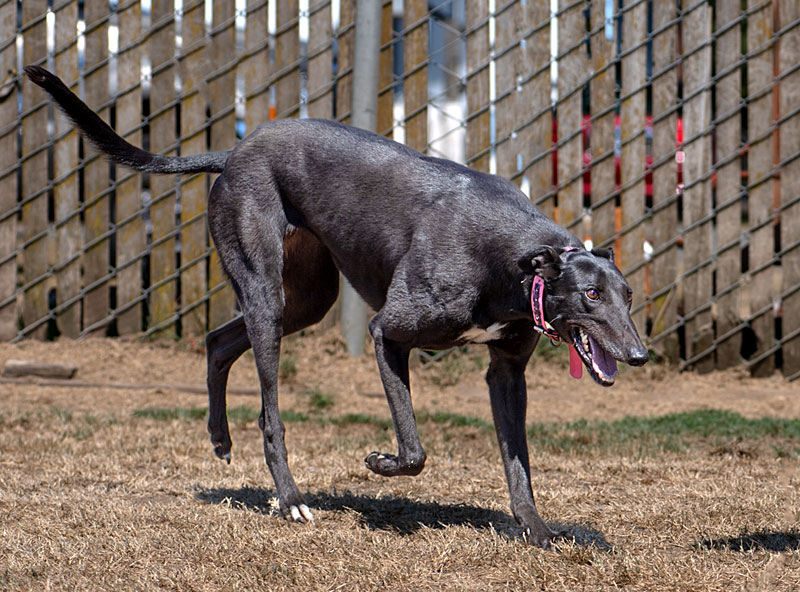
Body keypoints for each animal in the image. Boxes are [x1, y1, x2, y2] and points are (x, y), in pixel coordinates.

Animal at [26, 66, 648, 552]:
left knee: (218, 341)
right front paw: (380, 465)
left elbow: (519, 462)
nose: (639, 355)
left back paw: (221, 439)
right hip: (265, 292)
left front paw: (538, 532)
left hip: (305, 300)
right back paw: (290, 498)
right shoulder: (387, 333)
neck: (515, 257)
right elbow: (415, 449)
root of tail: (235, 152)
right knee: (269, 412)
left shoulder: (506, 371)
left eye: (628, 295)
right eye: (591, 296)